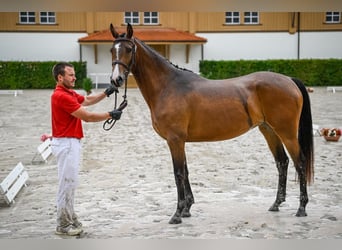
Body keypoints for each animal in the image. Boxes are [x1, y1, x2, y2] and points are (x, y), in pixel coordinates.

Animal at [109, 23, 312, 223]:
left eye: (128, 49)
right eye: (112, 49)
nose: (116, 79)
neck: (169, 86)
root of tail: (289, 80)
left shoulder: (175, 140)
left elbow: (178, 173)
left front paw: (177, 213)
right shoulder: (180, 141)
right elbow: (186, 171)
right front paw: (187, 208)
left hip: (287, 133)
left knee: (300, 163)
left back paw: (302, 208)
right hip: (269, 130)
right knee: (282, 162)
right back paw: (276, 204)